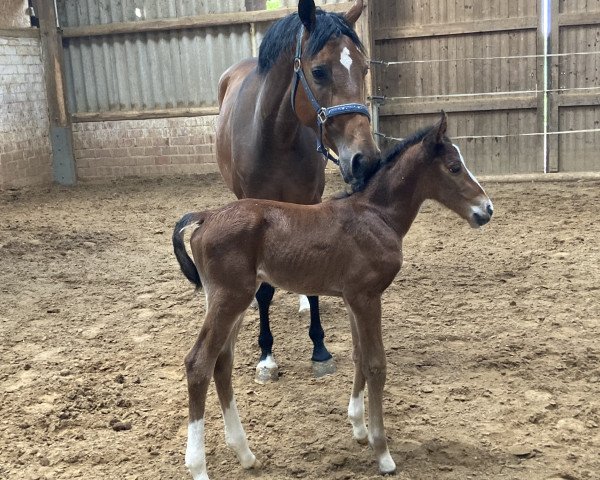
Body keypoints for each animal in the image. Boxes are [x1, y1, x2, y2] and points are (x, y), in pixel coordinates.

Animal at [172, 114, 492, 478]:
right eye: (454, 167)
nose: (487, 209)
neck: (376, 214)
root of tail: (206, 216)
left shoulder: (354, 298)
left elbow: (358, 356)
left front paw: (359, 428)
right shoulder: (367, 297)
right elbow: (376, 364)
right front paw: (382, 453)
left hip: (231, 301)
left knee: (222, 362)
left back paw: (245, 453)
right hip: (229, 299)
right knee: (198, 363)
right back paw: (198, 466)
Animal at [216, 0, 378, 382]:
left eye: (364, 68)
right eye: (318, 72)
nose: (365, 160)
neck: (276, 135)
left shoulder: (309, 202)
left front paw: (320, 350)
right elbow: (263, 293)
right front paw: (266, 356)